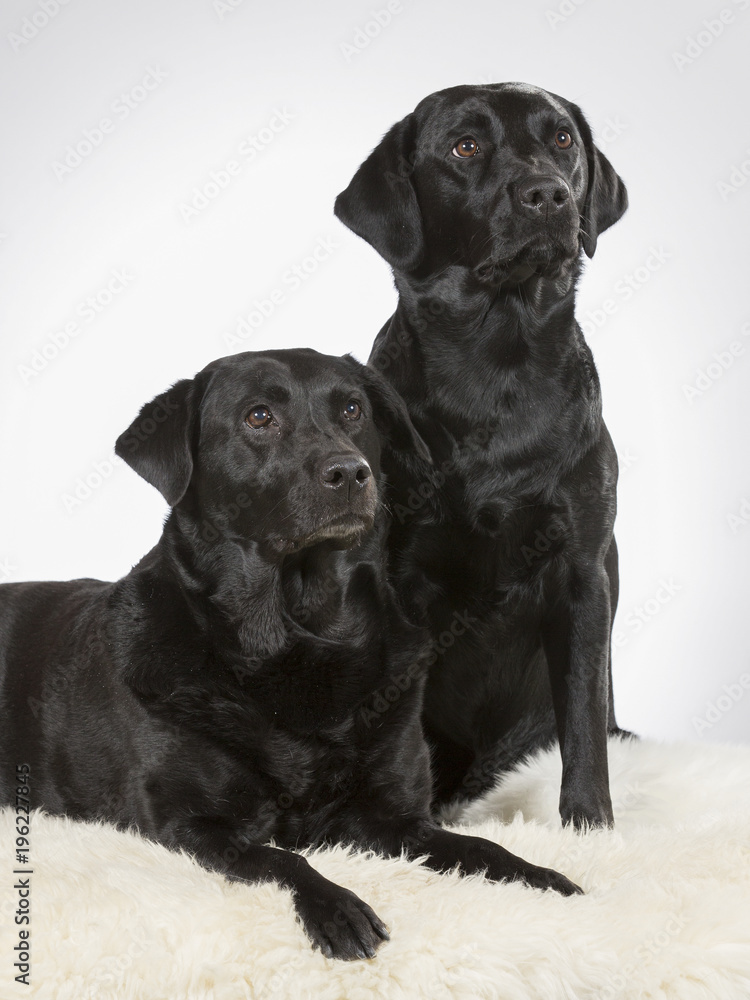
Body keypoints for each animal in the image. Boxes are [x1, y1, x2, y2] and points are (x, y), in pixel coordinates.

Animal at [0, 346, 580, 960]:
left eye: (352, 409)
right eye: (259, 417)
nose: (350, 472)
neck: (300, 633)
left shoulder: (396, 819)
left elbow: (478, 848)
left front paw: (540, 877)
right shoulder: (192, 826)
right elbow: (282, 858)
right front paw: (338, 908)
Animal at [336, 82, 636, 828]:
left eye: (562, 140)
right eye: (465, 146)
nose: (548, 193)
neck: (496, 361)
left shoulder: (582, 573)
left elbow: (583, 716)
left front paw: (589, 823)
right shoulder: (402, 583)